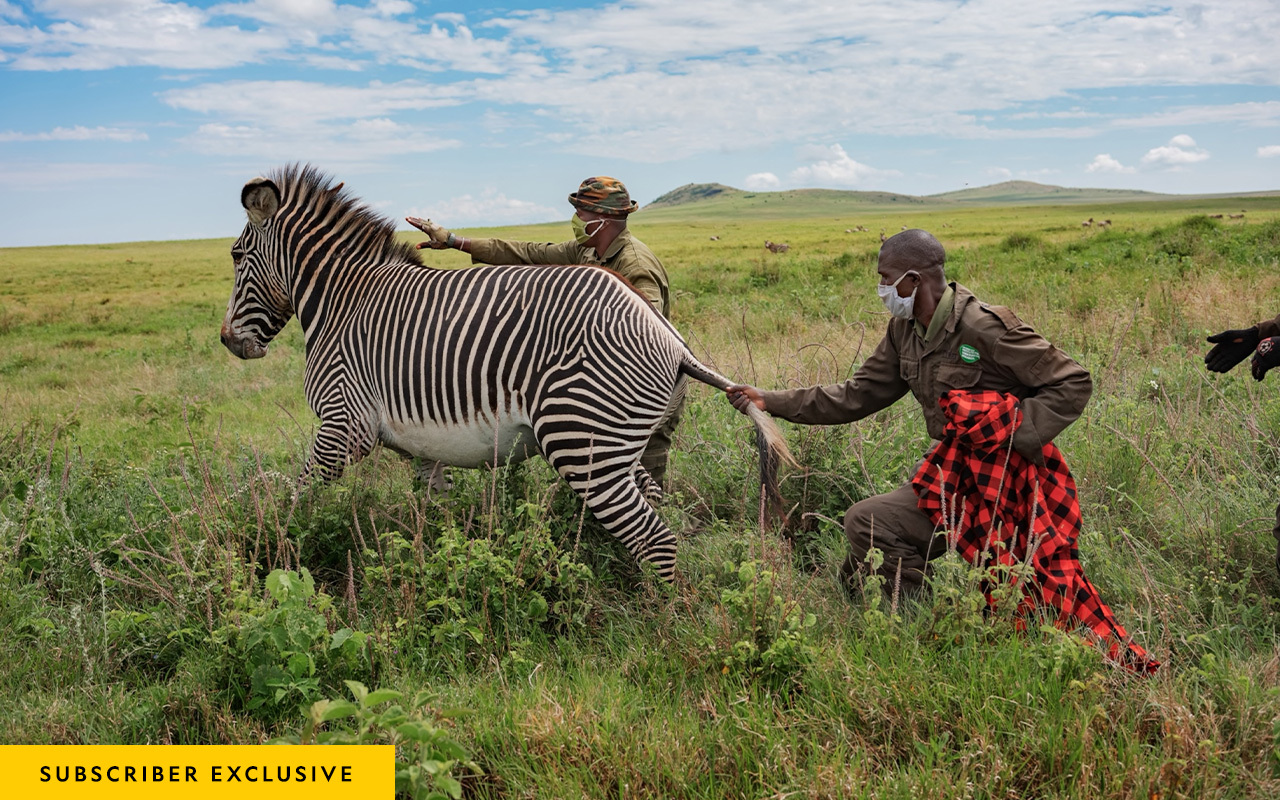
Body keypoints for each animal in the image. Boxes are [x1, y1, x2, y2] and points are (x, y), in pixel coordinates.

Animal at [225, 165, 793, 581]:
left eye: (235, 255)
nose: (230, 341)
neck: (342, 302)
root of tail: (671, 340)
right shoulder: (422, 447)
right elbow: (435, 518)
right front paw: (434, 570)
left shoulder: (342, 426)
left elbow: (294, 502)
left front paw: (276, 557)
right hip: (618, 442)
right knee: (657, 508)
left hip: (580, 442)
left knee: (655, 538)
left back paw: (664, 622)